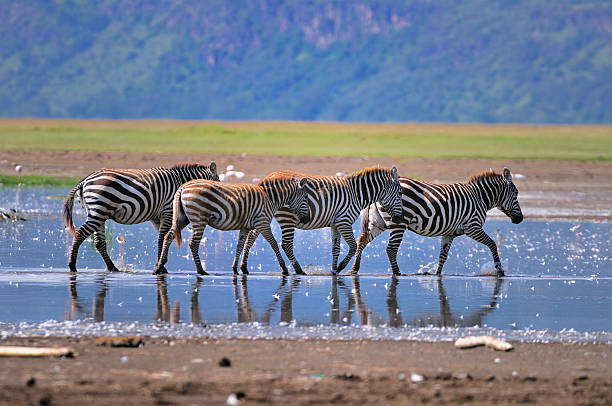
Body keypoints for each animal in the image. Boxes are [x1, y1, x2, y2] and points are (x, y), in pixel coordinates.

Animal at [62, 162, 219, 272]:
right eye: (217, 183)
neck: (180, 182)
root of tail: (85, 180)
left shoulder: (157, 218)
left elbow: (164, 238)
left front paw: (161, 264)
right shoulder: (168, 211)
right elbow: (162, 239)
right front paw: (160, 267)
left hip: (98, 213)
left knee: (99, 242)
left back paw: (113, 268)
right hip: (99, 210)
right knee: (81, 233)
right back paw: (72, 265)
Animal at [153, 173, 310, 274]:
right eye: (306, 197)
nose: (307, 219)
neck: (270, 198)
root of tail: (182, 187)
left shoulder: (246, 226)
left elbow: (240, 245)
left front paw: (236, 269)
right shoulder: (263, 222)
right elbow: (274, 243)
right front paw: (284, 269)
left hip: (183, 218)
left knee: (168, 236)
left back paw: (159, 268)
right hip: (199, 218)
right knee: (193, 244)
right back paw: (201, 271)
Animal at [237, 166, 404, 276]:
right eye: (400, 193)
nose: (399, 218)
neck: (356, 194)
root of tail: (264, 180)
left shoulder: (336, 224)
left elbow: (335, 248)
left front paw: (334, 270)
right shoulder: (344, 221)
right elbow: (352, 245)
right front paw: (341, 267)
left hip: (263, 214)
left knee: (251, 237)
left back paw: (244, 267)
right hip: (287, 218)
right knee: (286, 244)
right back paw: (298, 270)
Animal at [352, 167, 524, 276]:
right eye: (516, 193)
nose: (520, 219)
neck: (480, 197)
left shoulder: (449, 233)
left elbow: (443, 256)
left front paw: (437, 275)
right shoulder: (472, 227)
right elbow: (492, 244)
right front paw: (500, 270)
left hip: (378, 222)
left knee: (362, 240)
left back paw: (354, 269)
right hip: (398, 224)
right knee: (391, 249)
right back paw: (398, 274)